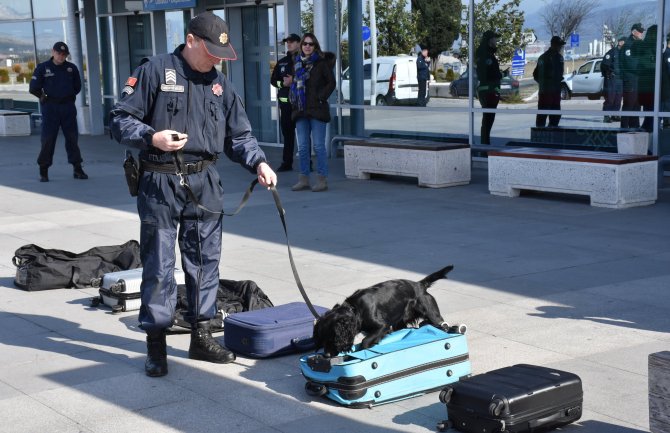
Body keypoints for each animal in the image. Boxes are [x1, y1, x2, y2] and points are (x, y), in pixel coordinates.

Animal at [314, 264, 462, 356]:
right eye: (322, 339)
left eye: (332, 338)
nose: (327, 355)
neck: (355, 309)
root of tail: (420, 285)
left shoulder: (382, 326)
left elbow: (365, 341)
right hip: (400, 323)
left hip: (432, 313)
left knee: (442, 325)